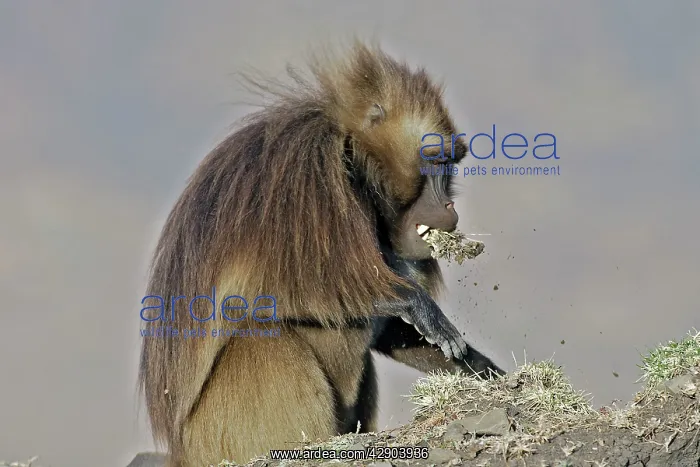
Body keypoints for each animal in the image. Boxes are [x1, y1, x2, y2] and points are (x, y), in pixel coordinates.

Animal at [138, 41, 505, 467]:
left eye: (450, 164)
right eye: (435, 159)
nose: (448, 206)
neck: (356, 160)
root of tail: (180, 451)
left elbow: (391, 331)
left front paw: (477, 366)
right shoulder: (304, 174)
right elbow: (293, 288)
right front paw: (418, 305)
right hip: (217, 433)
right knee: (265, 335)